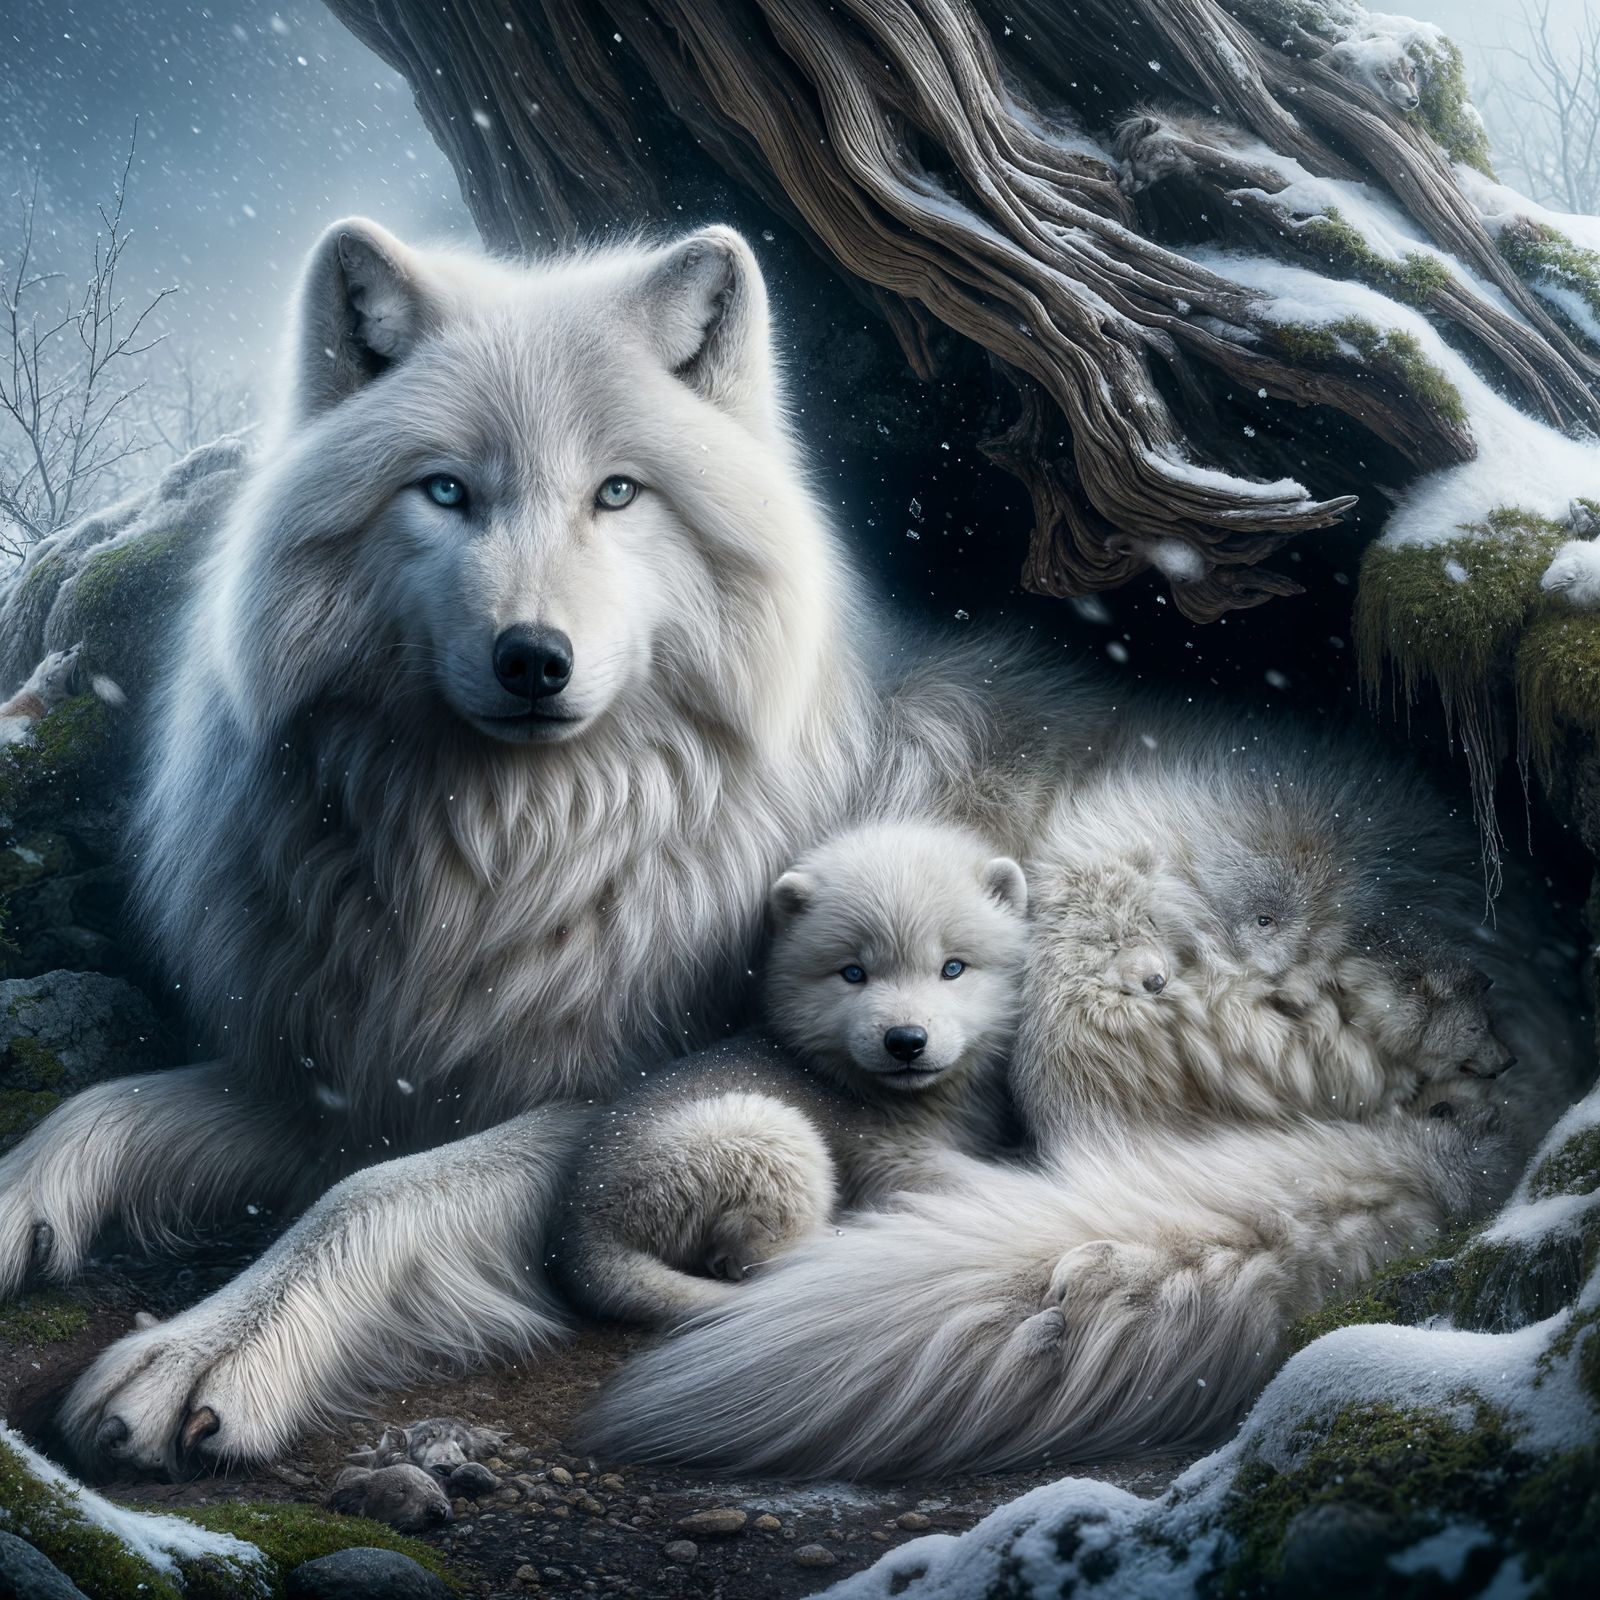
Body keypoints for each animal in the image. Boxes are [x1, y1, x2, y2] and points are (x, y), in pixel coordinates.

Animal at [551, 820, 1028, 1328]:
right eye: (853, 972)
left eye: (953, 967)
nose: (905, 1040)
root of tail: (581, 1240)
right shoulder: (880, 1148)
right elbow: (961, 1179)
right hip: (746, 1134)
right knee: (764, 1251)